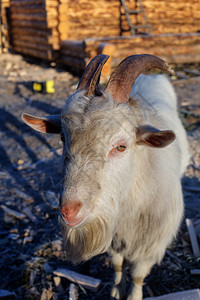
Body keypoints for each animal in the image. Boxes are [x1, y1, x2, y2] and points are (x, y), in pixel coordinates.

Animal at [21, 54, 189, 300]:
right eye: (62, 137)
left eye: (121, 146)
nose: (69, 211)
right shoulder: (114, 239)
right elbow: (118, 264)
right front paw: (116, 290)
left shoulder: (150, 245)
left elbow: (138, 275)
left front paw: (132, 295)